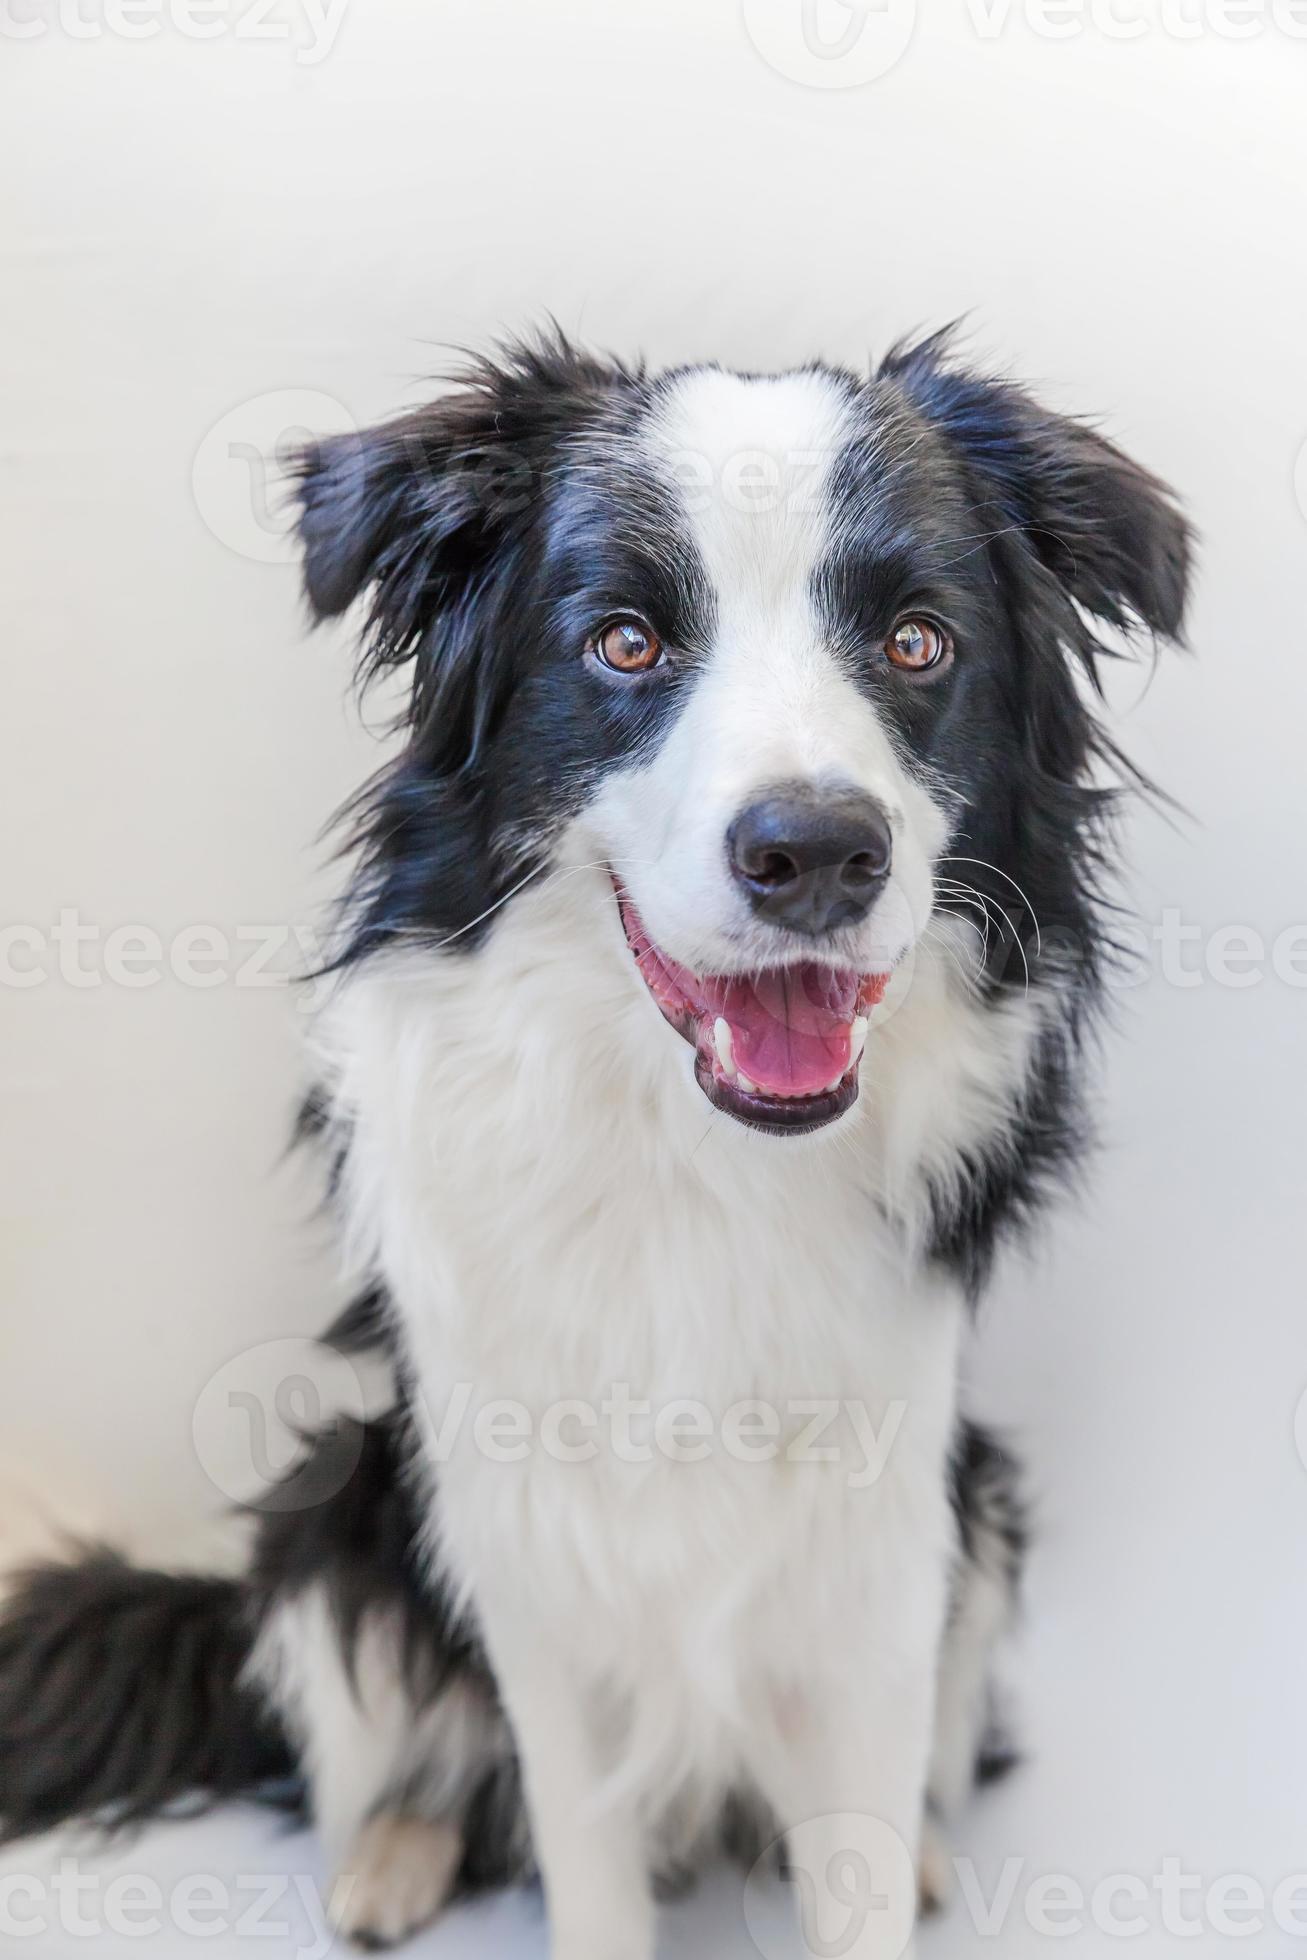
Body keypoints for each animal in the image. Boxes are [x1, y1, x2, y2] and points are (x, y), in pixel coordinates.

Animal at [0, 337, 1183, 1960]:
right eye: (622, 643)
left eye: (916, 644)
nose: (814, 853)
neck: (693, 1159)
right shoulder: (526, 1556)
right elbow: (578, 1847)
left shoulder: (877, 1556)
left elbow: (858, 1863)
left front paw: (892, 1874)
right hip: (335, 1514)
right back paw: (391, 1862)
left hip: (983, 1512)